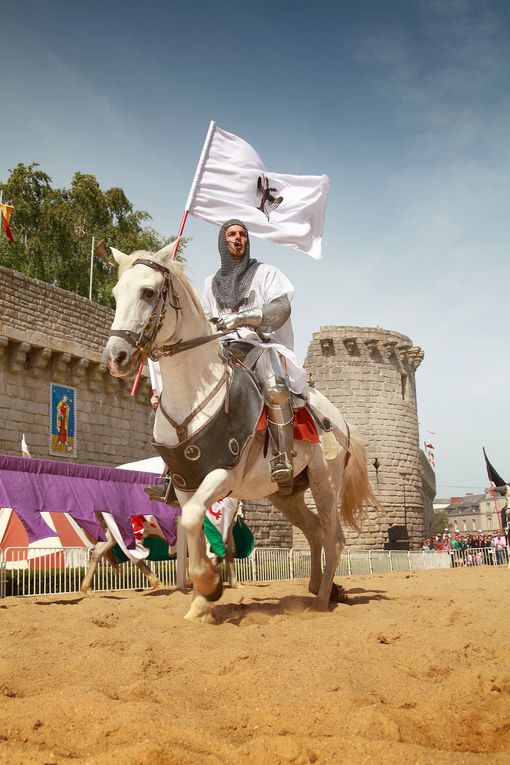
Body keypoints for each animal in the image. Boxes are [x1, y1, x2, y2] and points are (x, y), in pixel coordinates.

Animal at [102, 243, 378, 620]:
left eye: (148, 292)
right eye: (116, 294)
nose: (115, 356)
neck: (195, 393)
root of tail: (343, 422)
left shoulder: (223, 475)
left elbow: (192, 521)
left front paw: (209, 585)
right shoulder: (186, 484)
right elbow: (191, 527)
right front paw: (200, 602)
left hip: (325, 482)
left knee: (333, 537)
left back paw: (321, 601)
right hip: (284, 494)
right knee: (314, 532)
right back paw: (315, 588)